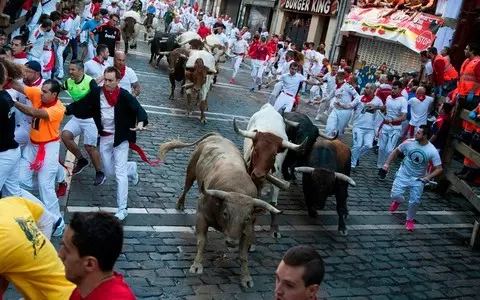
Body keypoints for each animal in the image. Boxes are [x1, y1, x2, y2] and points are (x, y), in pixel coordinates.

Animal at [158, 133, 282, 288]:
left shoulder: (247, 230)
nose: (232, 242)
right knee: (186, 187)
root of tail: (217, 135)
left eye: (247, 218)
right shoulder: (201, 216)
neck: (237, 189)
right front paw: (197, 265)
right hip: (191, 171)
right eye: (225, 213)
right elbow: (202, 241)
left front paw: (246, 277)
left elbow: (243, 255)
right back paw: (180, 204)